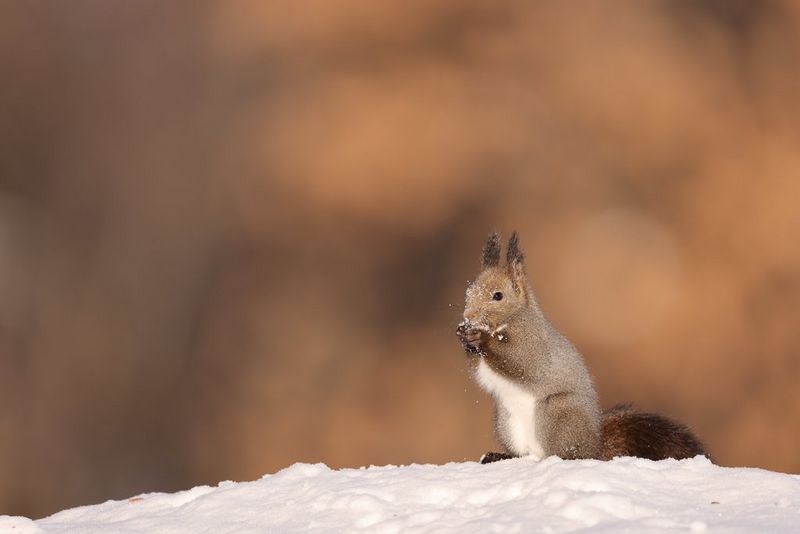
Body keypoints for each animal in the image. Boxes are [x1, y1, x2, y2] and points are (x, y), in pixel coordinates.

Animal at [456, 233, 708, 464]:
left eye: (498, 296)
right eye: (469, 291)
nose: (468, 316)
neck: (509, 322)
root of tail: (593, 446)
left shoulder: (534, 345)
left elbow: (521, 363)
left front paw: (481, 339)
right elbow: (480, 372)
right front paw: (465, 337)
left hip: (557, 413)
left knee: (563, 454)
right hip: (506, 421)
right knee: (525, 455)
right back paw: (501, 455)